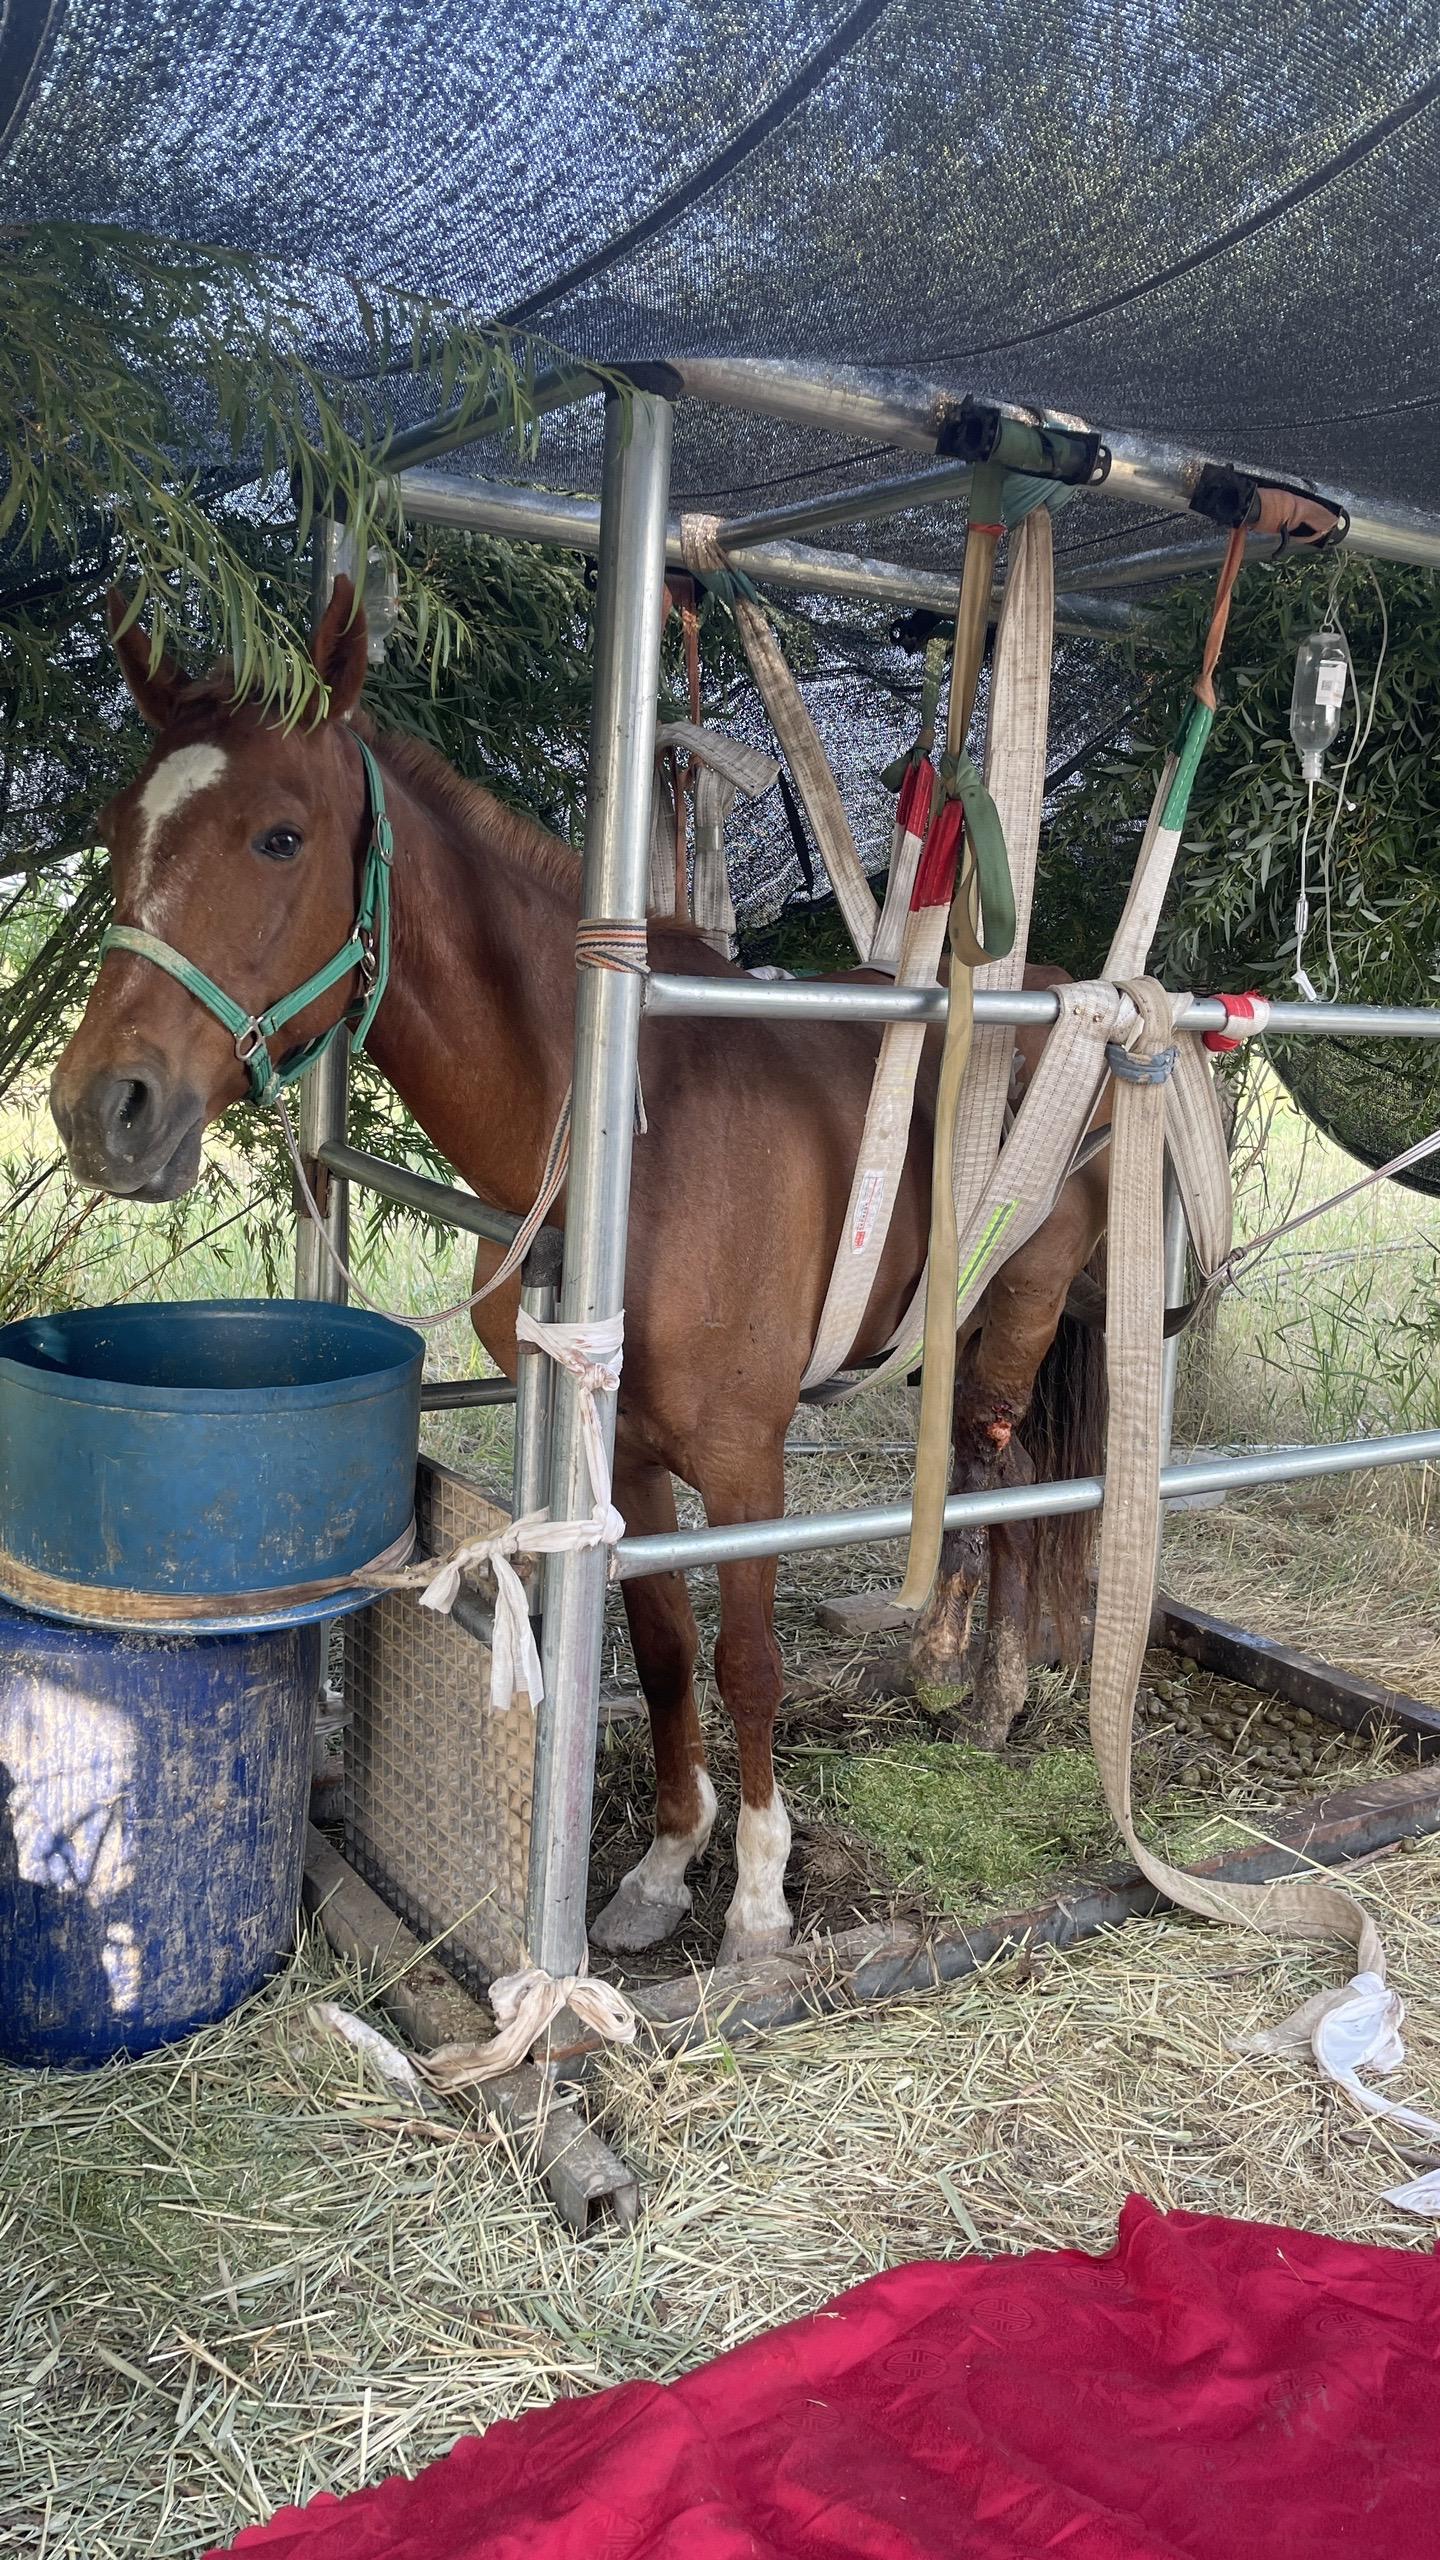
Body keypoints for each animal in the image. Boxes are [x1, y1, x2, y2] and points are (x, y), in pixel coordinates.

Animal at [50, 581, 1101, 1955]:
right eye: (117, 828)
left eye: (281, 838)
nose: (102, 1109)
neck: (633, 1132)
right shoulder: (630, 1461)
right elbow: (660, 1651)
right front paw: (660, 1871)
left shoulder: (745, 1459)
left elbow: (746, 1661)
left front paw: (757, 1897)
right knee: (1006, 1481)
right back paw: (965, 1686)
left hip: (1018, 1315)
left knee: (1010, 1475)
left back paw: (990, 1695)